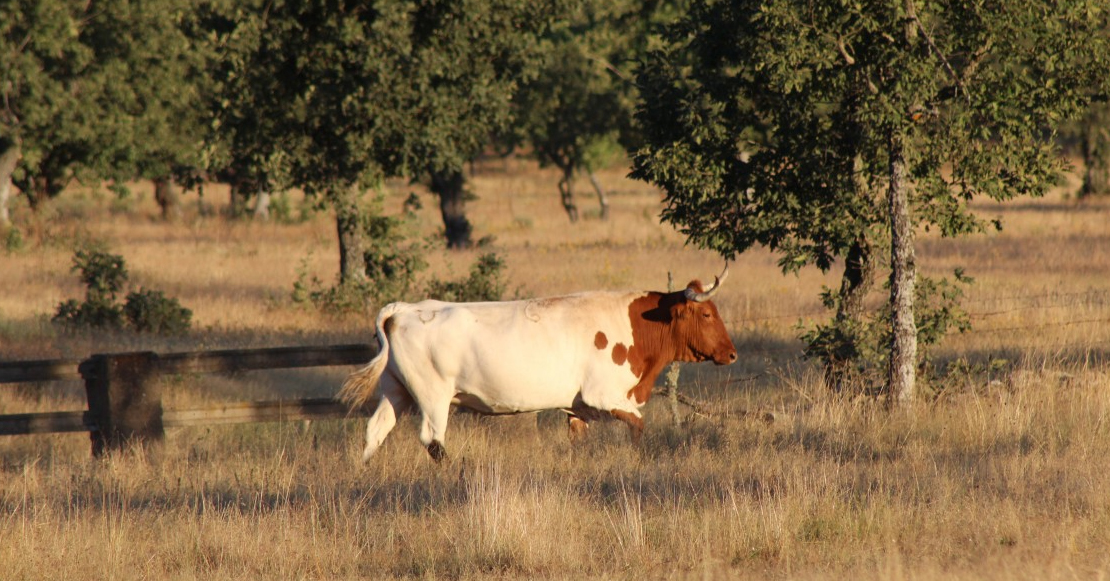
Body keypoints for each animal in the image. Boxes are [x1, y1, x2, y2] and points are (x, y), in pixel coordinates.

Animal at [337, 264, 737, 464]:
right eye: (705, 313)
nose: (732, 353)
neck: (634, 324)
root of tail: (406, 309)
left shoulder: (577, 408)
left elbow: (579, 441)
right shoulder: (603, 395)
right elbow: (638, 425)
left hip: (397, 391)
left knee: (376, 430)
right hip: (433, 395)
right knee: (432, 439)